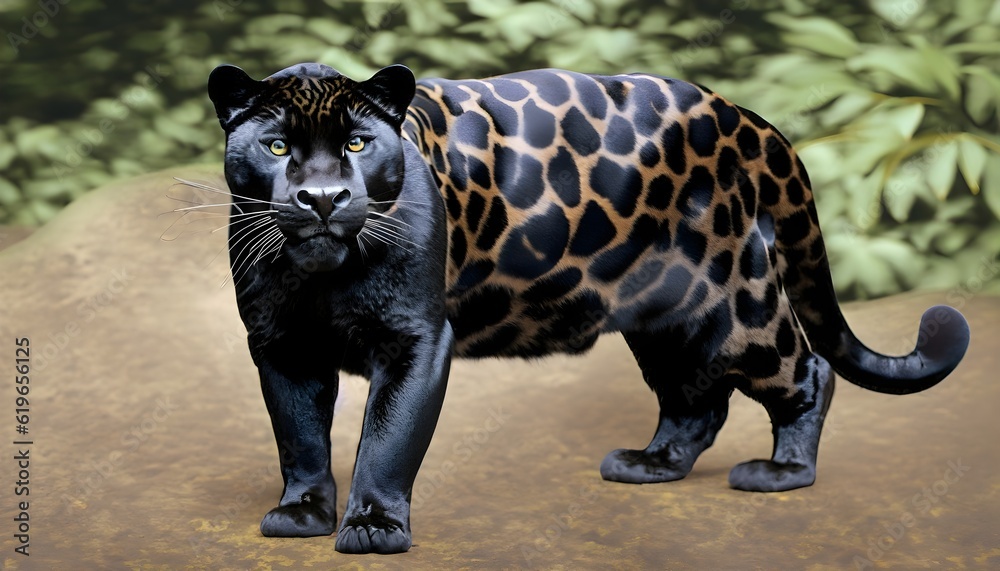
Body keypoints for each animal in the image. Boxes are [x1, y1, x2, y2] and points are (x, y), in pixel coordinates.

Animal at [206, 62, 970, 555]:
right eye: (277, 145)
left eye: (358, 144)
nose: (322, 198)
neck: (320, 279)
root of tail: (745, 117)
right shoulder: (279, 344)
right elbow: (299, 434)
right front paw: (303, 511)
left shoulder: (415, 339)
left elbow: (388, 437)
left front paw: (372, 527)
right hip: (667, 318)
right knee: (696, 399)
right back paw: (652, 464)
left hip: (737, 303)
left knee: (806, 370)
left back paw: (781, 473)